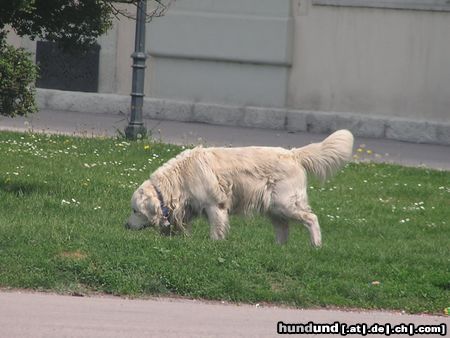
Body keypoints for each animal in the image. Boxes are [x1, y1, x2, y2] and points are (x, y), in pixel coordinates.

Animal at [125, 129, 354, 246]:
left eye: (135, 211)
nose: (125, 226)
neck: (179, 177)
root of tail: (293, 154)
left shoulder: (214, 204)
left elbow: (216, 229)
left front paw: (215, 245)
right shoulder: (189, 206)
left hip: (285, 203)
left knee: (311, 218)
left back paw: (316, 245)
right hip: (274, 208)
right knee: (283, 229)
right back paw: (278, 249)